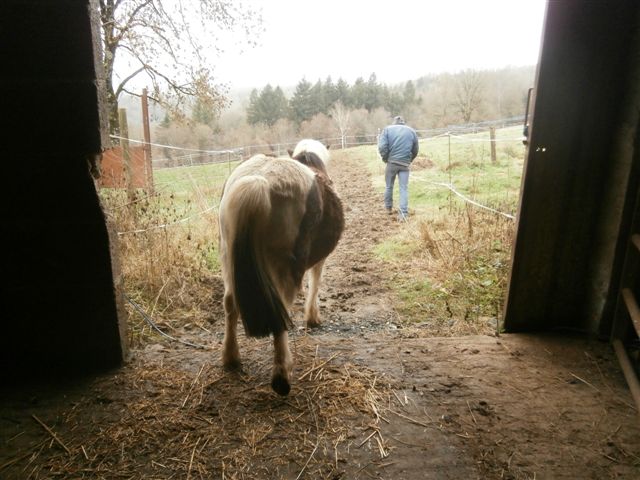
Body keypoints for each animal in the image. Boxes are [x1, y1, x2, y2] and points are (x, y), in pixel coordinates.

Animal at [219, 141, 342, 396]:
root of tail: (260, 181)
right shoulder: (319, 261)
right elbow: (315, 284)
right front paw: (313, 317)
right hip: (284, 269)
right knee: (280, 313)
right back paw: (281, 375)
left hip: (227, 257)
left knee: (230, 304)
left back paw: (231, 358)